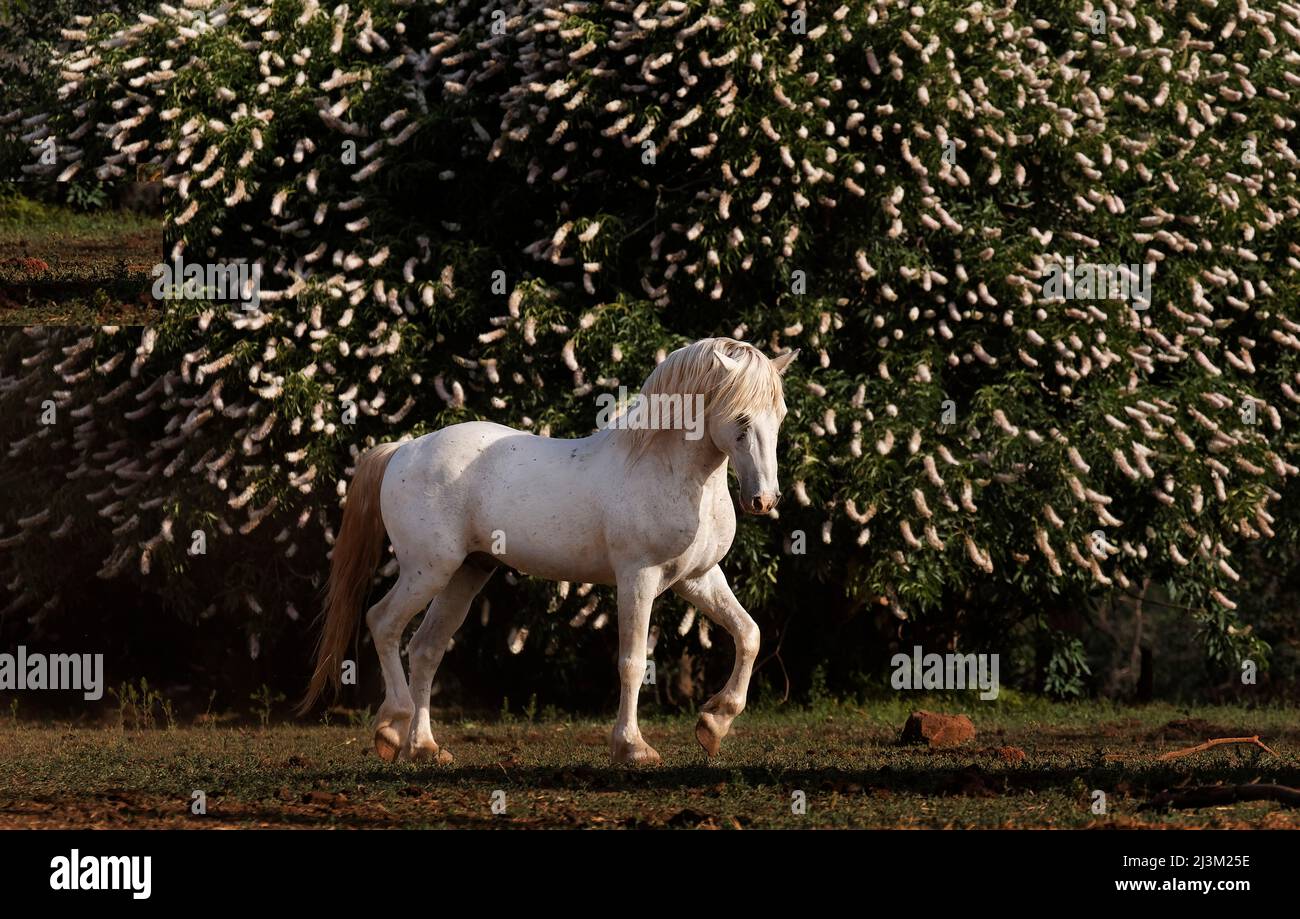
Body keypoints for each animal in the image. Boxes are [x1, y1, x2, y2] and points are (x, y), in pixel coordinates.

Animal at [300, 337, 797, 765]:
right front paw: (633, 748)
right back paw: (391, 729)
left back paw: (424, 747)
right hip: (428, 570)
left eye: (780, 415)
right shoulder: (638, 578)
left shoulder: (698, 578)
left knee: (425, 648)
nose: (764, 500)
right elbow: (633, 663)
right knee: (383, 623)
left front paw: (714, 724)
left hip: (465, 574)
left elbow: (749, 634)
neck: (668, 470)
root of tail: (405, 449)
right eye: (741, 419)